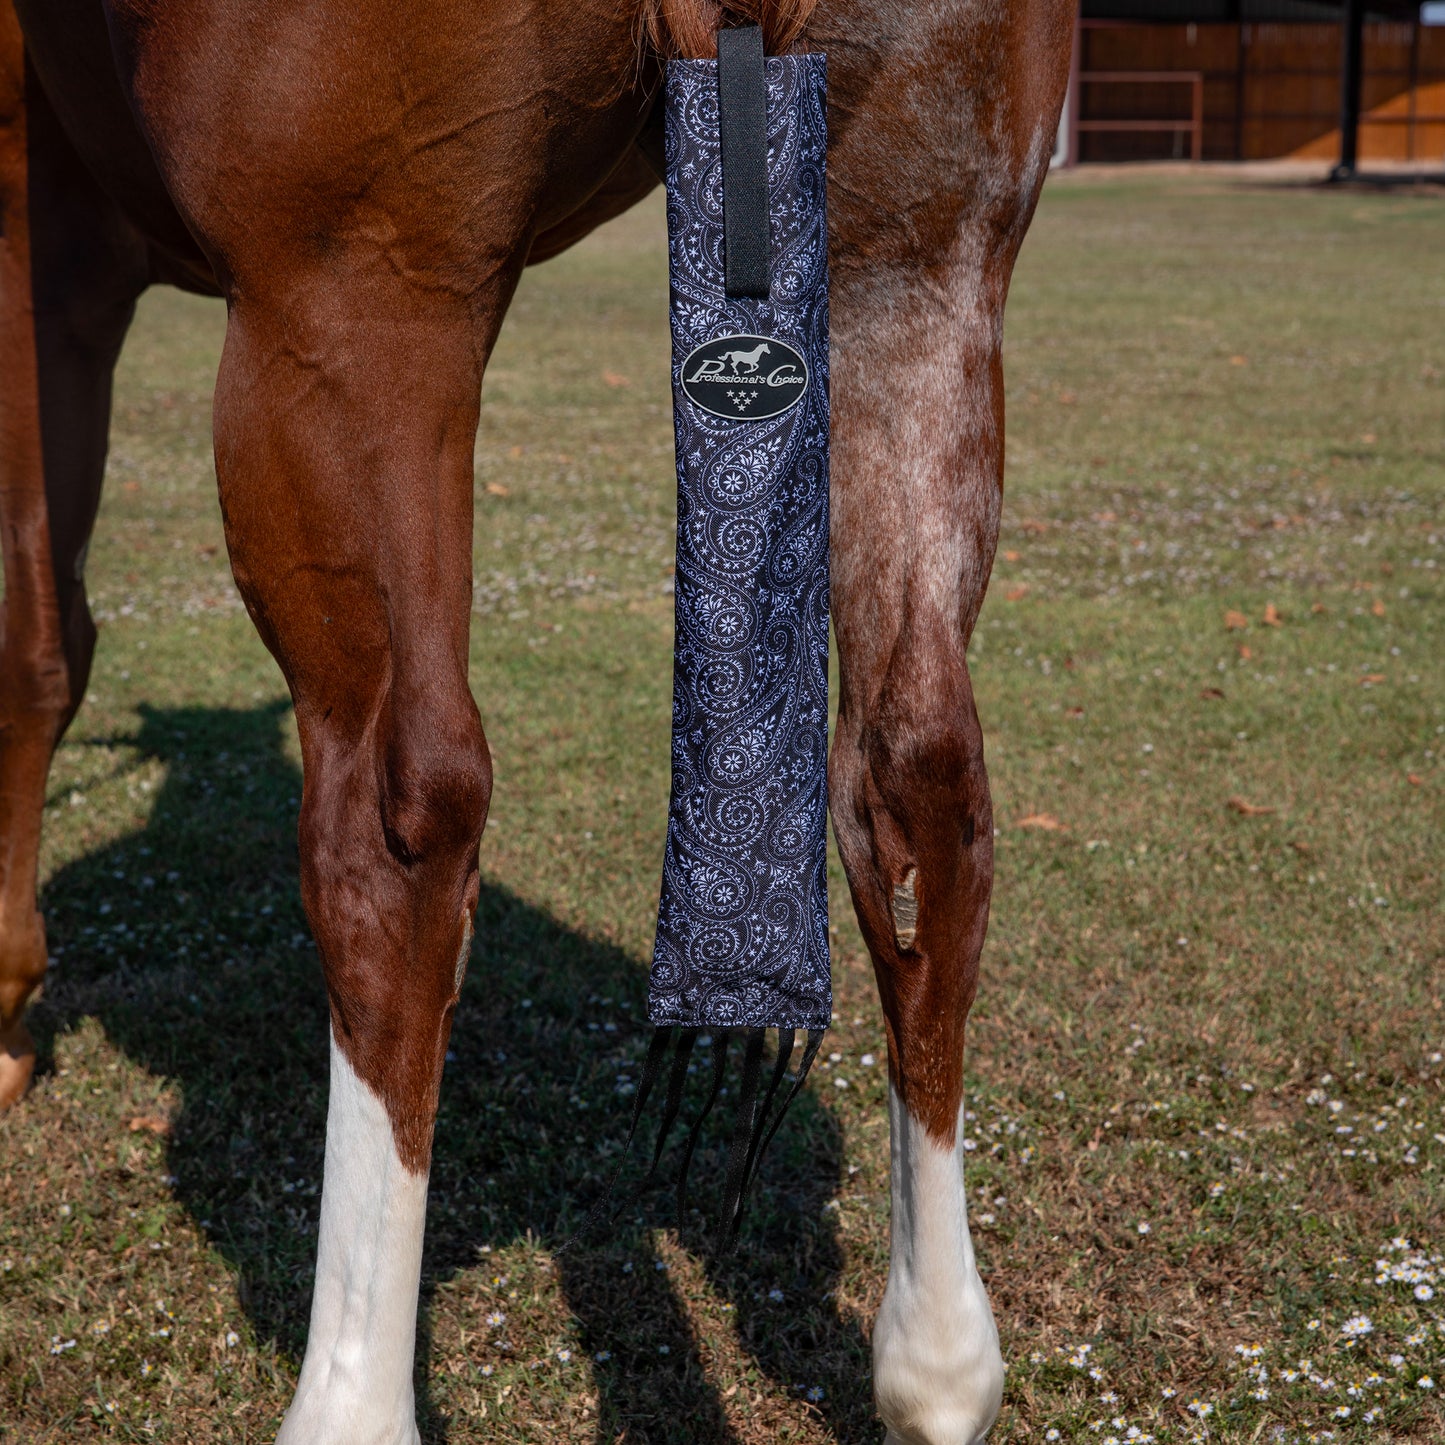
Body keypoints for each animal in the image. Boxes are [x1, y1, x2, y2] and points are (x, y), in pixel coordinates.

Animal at [0, 0, 1073, 1440]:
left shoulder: (43, 234)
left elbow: (34, 642)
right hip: (916, 254)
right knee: (921, 778)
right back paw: (937, 1367)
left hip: (352, 295)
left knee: (393, 826)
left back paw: (350, 1402)